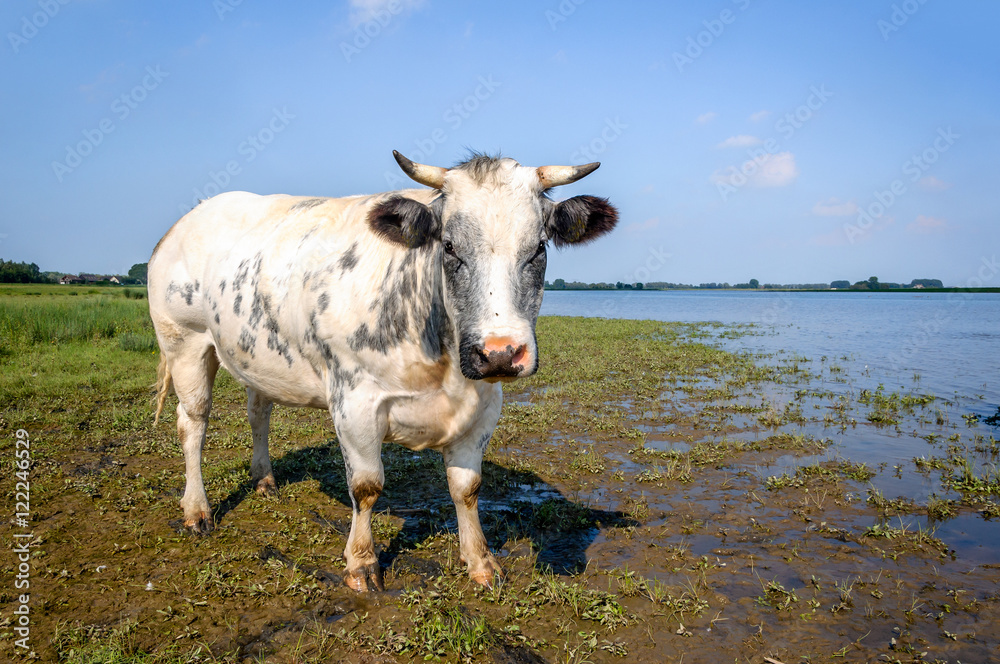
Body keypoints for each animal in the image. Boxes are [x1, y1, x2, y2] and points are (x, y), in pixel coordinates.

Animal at [148, 152, 616, 592]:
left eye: (539, 248)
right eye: (449, 246)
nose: (499, 353)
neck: (442, 368)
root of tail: (185, 221)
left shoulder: (484, 406)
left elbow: (467, 489)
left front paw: (480, 562)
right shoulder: (354, 402)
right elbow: (366, 486)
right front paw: (361, 564)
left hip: (254, 354)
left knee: (258, 411)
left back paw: (264, 480)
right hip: (184, 342)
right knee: (192, 423)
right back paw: (196, 511)